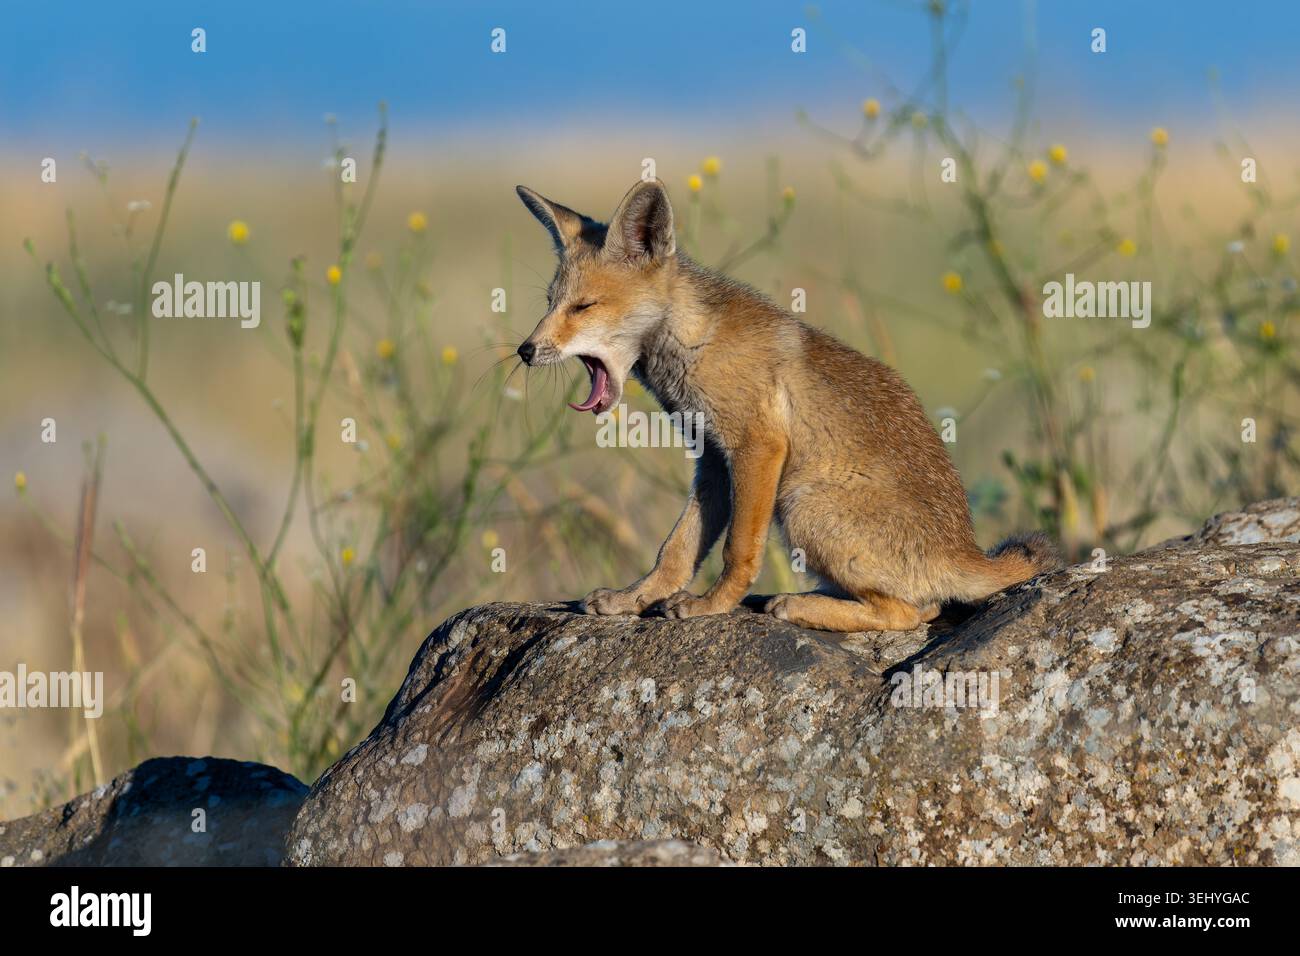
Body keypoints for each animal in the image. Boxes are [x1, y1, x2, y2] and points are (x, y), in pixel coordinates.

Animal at [514, 177, 1062, 632]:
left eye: (583, 307)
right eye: (548, 302)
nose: (524, 350)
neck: (694, 340)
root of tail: (965, 549)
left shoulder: (758, 445)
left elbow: (738, 550)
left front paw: (713, 606)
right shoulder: (713, 459)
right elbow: (677, 549)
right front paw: (634, 598)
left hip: (800, 503)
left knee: (913, 613)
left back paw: (797, 606)